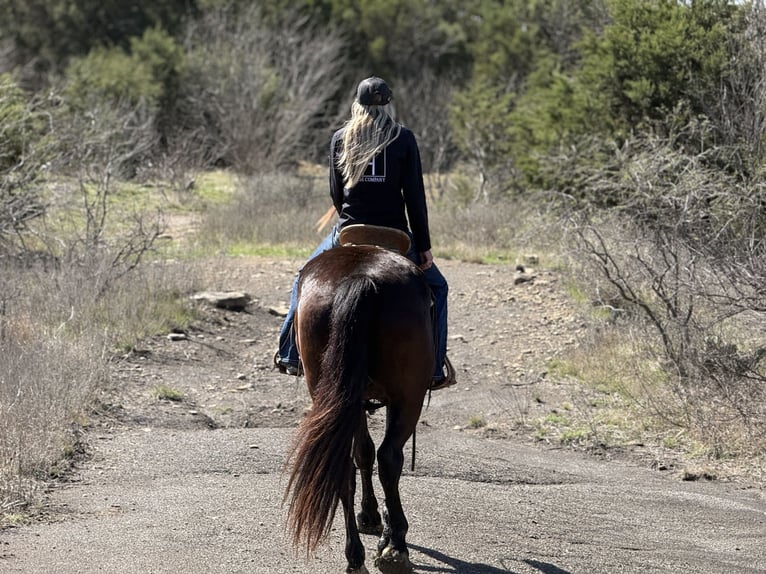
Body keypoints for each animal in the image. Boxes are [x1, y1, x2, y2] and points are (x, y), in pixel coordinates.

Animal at [283, 242, 435, 574]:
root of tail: (361, 278)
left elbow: (362, 453)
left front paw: (371, 517)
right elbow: (374, 456)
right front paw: (382, 525)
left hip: (334, 395)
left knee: (344, 465)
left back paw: (355, 556)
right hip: (409, 397)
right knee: (390, 458)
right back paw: (395, 547)